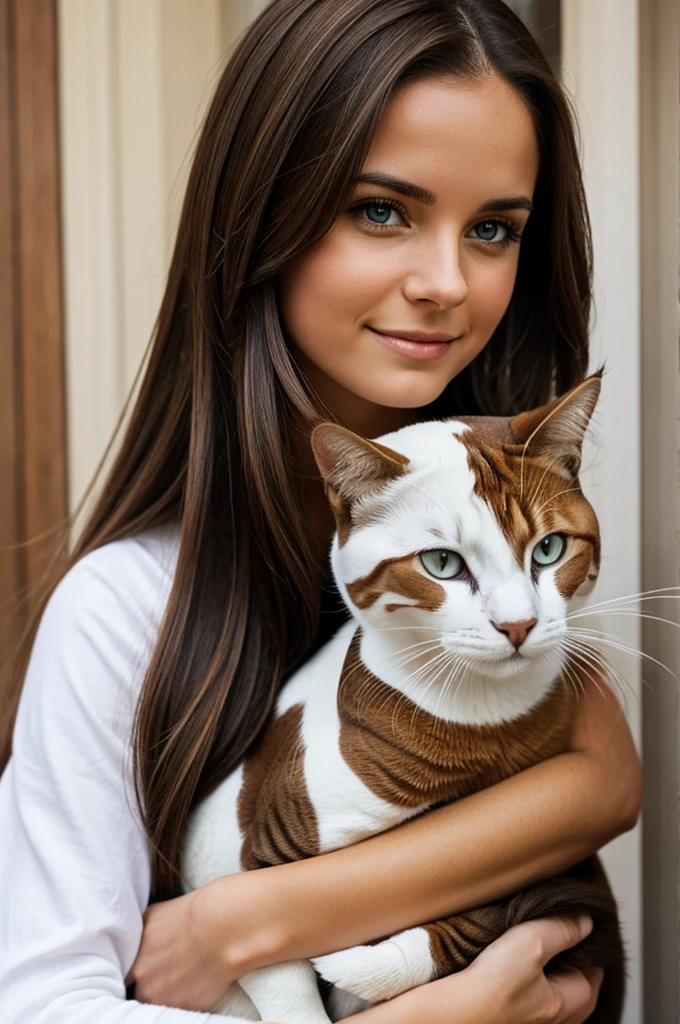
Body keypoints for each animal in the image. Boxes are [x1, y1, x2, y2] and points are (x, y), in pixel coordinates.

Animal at [180, 374, 622, 1024]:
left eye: (549, 549)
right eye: (441, 563)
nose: (517, 625)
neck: (481, 723)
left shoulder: (558, 848)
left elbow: (492, 909)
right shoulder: (265, 861)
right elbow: (279, 972)